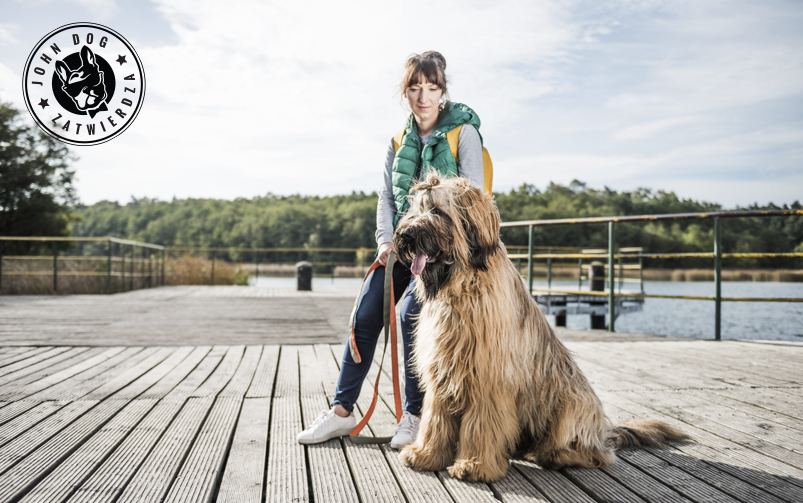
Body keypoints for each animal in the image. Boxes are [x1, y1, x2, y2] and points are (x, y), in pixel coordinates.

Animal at [392, 174, 688, 484]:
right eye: (414, 210)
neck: (461, 285)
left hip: (569, 405)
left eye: (438, 211)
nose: (405, 236)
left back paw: (556, 454)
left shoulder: (488, 377)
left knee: (596, 453)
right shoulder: (442, 372)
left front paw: (475, 465)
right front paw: (425, 455)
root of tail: (604, 433)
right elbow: (435, 421)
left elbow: (482, 425)